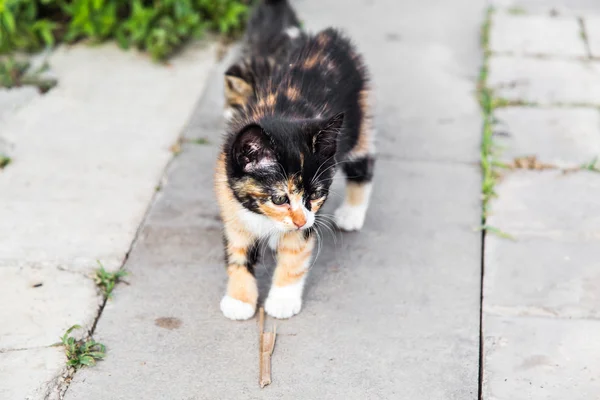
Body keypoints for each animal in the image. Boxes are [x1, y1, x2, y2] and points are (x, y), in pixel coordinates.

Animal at [216, 22, 376, 322]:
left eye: (316, 194)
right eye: (279, 199)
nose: (300, 221)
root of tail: (330, 36)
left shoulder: (310, 219)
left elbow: (295, 253)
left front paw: (282, 301)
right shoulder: (230, 198)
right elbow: (238, 250)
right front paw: (239, 300)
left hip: (359, 118)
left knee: (363, 162)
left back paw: (352, 213)